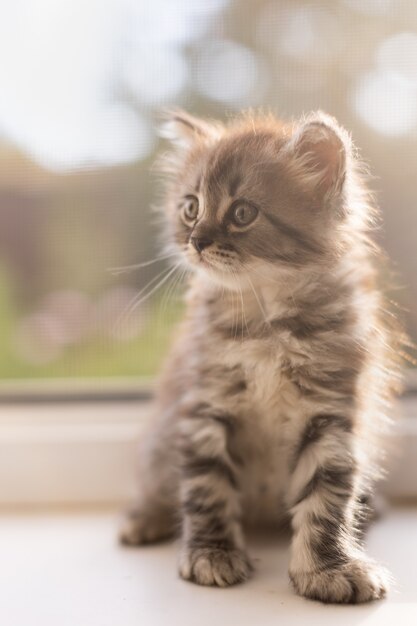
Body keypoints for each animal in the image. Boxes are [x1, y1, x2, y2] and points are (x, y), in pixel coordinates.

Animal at [119, 109, 400, 604]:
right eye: (190, 208)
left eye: (242, 213)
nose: (197, 241)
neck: (265, 318)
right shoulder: (204, 405)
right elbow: (206, 486)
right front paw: (211, 554)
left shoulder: (332, 411)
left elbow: (328, 495)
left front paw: (328, 568)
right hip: (156, 445)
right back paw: (144, 518)